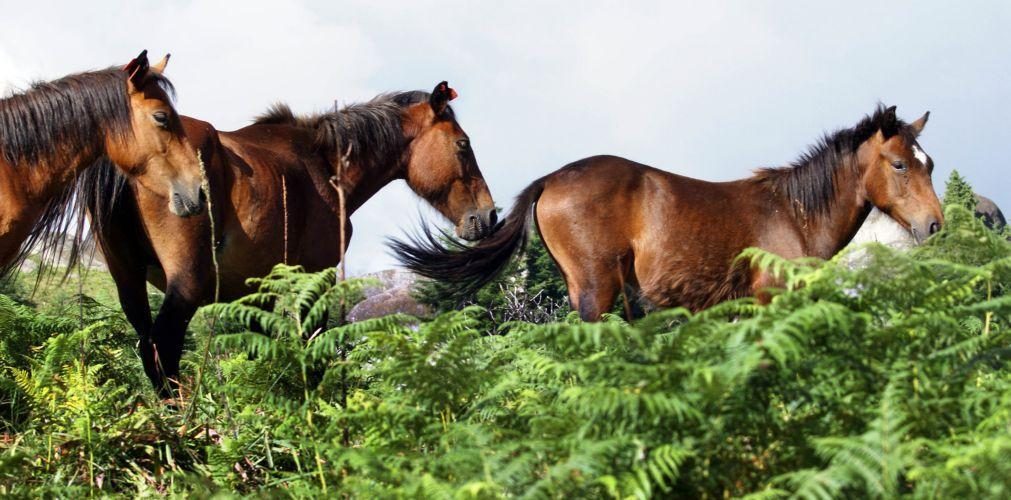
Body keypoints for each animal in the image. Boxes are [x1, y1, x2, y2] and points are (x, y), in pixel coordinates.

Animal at [83, 82, 497, 395]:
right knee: (163, 346)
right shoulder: (316, 276)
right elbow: (312, 347)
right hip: (185, 283)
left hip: (128, 280)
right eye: (463, 144)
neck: (323, 164)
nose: (488, 215)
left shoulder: (255, 292)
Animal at [390, 104, 942, 321]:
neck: (792, 213)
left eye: (929, 163)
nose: (935, 224)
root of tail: (552, 178)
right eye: (899, 163)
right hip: (596, 293)